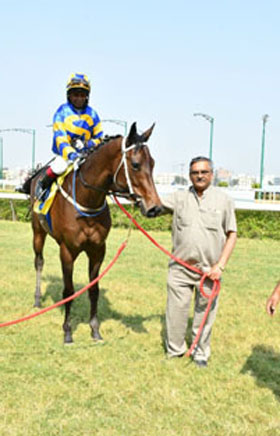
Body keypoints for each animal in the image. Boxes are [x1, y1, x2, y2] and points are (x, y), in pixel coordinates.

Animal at [30, 122, 162, 344]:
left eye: (152, 163)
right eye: (135, 164)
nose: (155, 208)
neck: (87, 201)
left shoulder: (98, 250)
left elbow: (94, 290)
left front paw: (95, 330)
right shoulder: (67, 251)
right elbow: (69, 290)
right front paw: (67, 332)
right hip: (38, 231)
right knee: (39, 262)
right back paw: (38, 299)